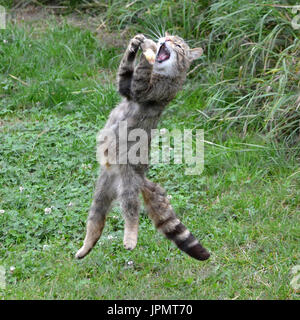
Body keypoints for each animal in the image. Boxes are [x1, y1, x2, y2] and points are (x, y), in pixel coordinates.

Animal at [75, 33, 210, 262]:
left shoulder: (152, 91)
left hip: (129, 180)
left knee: (131, 210)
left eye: (177, 43)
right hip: (103, 187)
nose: (165, 39)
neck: (162, 71)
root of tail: (141, 179)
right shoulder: (126, 91)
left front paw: (147, 55)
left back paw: (130, 236)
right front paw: (134, 47)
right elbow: (123, 77)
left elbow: (139, 81)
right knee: (97, 217)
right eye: (169, 36)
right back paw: (87, 245)